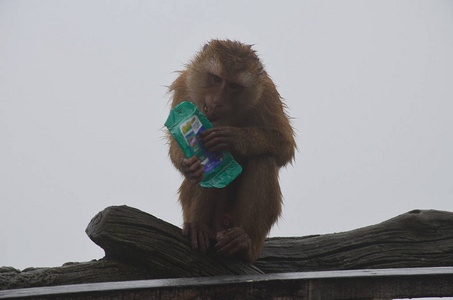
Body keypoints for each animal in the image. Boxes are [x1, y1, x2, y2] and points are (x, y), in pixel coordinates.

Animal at [167, 39, 296, 262]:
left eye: (234, 86)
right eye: (216, 79)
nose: (217, 102)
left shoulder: (267, 94)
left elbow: (285, 146)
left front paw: (232, 138)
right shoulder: (183, 88)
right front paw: (188, 165)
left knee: (263, 158)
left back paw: (243, 242)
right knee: (202, 177)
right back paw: (199, 227)